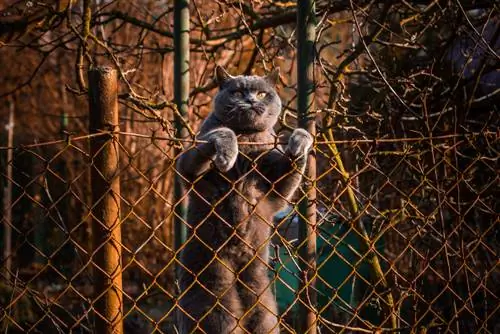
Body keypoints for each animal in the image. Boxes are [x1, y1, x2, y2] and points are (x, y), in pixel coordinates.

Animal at [174, 66, 310, 332]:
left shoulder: (276, 191)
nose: (251, 100)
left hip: (264, 306)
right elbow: (221, 132)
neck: (247, 139)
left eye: (262, 93)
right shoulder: (188, 168)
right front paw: (227, 154)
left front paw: (299, 141)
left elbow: (289, 170)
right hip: (214, 296)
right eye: (237, 92)